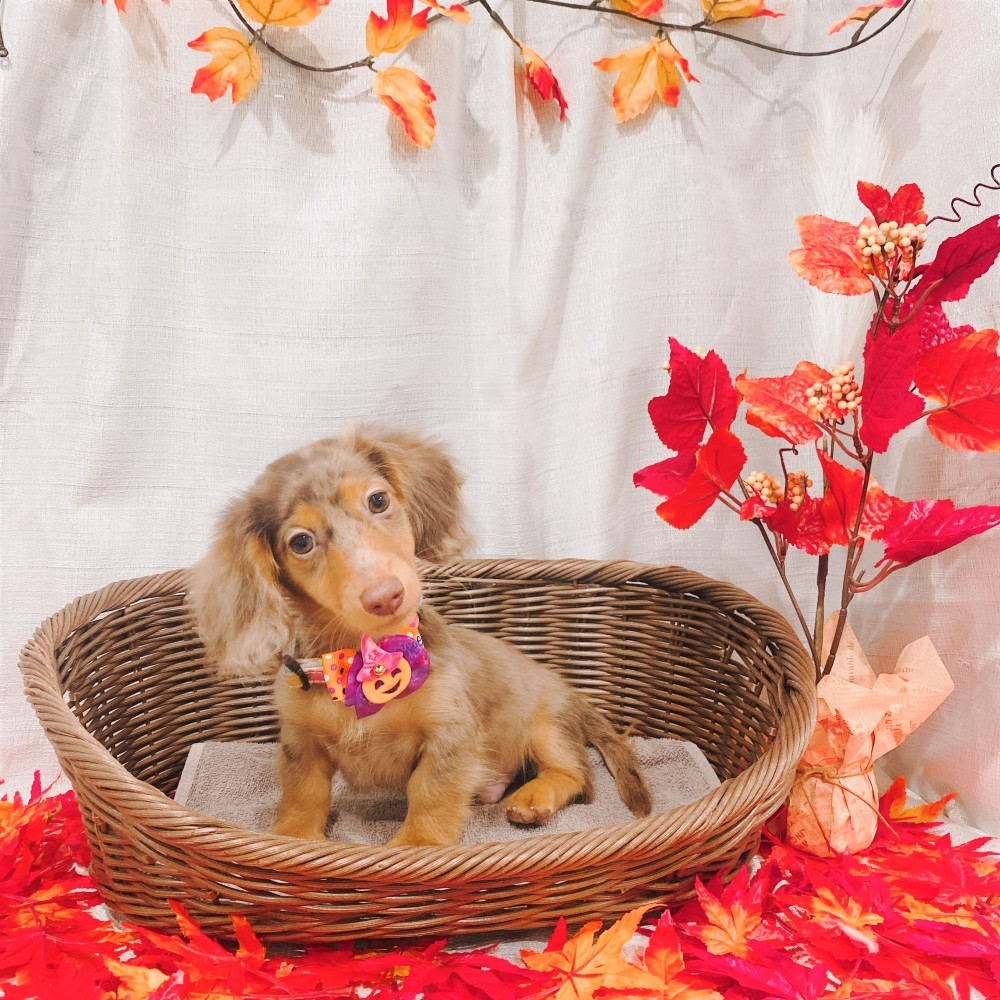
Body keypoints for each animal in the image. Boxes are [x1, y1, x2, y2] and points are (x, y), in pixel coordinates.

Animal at [188, 427, 652, 847]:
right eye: (301, 542)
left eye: (378, 501)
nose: (385, 595)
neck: (362, 659)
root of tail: (572, 693)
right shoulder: (300, 741)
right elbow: (303, 792)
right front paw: (293, 838)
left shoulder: (449, 733)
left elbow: (430, 791)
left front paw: (418, 845)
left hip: (546, 725)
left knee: (577, 775)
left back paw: (534, 797)